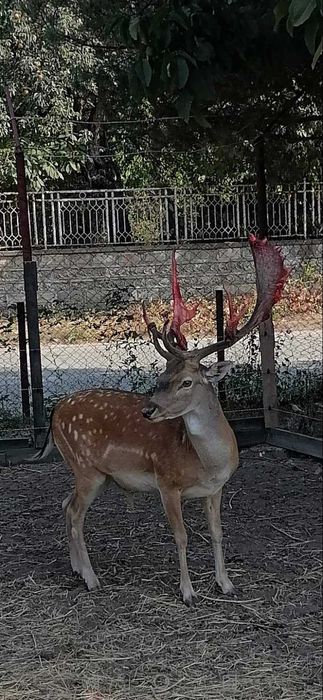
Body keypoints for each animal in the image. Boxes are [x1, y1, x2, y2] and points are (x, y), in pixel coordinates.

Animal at [29, 237, 288, 608]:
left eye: (186, 382)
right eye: (162, 377)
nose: (148, 410)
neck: (206, 463)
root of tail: (55, 411)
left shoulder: (217, 488)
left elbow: (217, 533)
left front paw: (226, 584)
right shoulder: (167, 483)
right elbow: (181, 536)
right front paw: (188, 592)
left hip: (96, 474)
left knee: (65, 505)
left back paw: (78, 569)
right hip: (85, 467)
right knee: (75, 513)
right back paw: (91, 579)